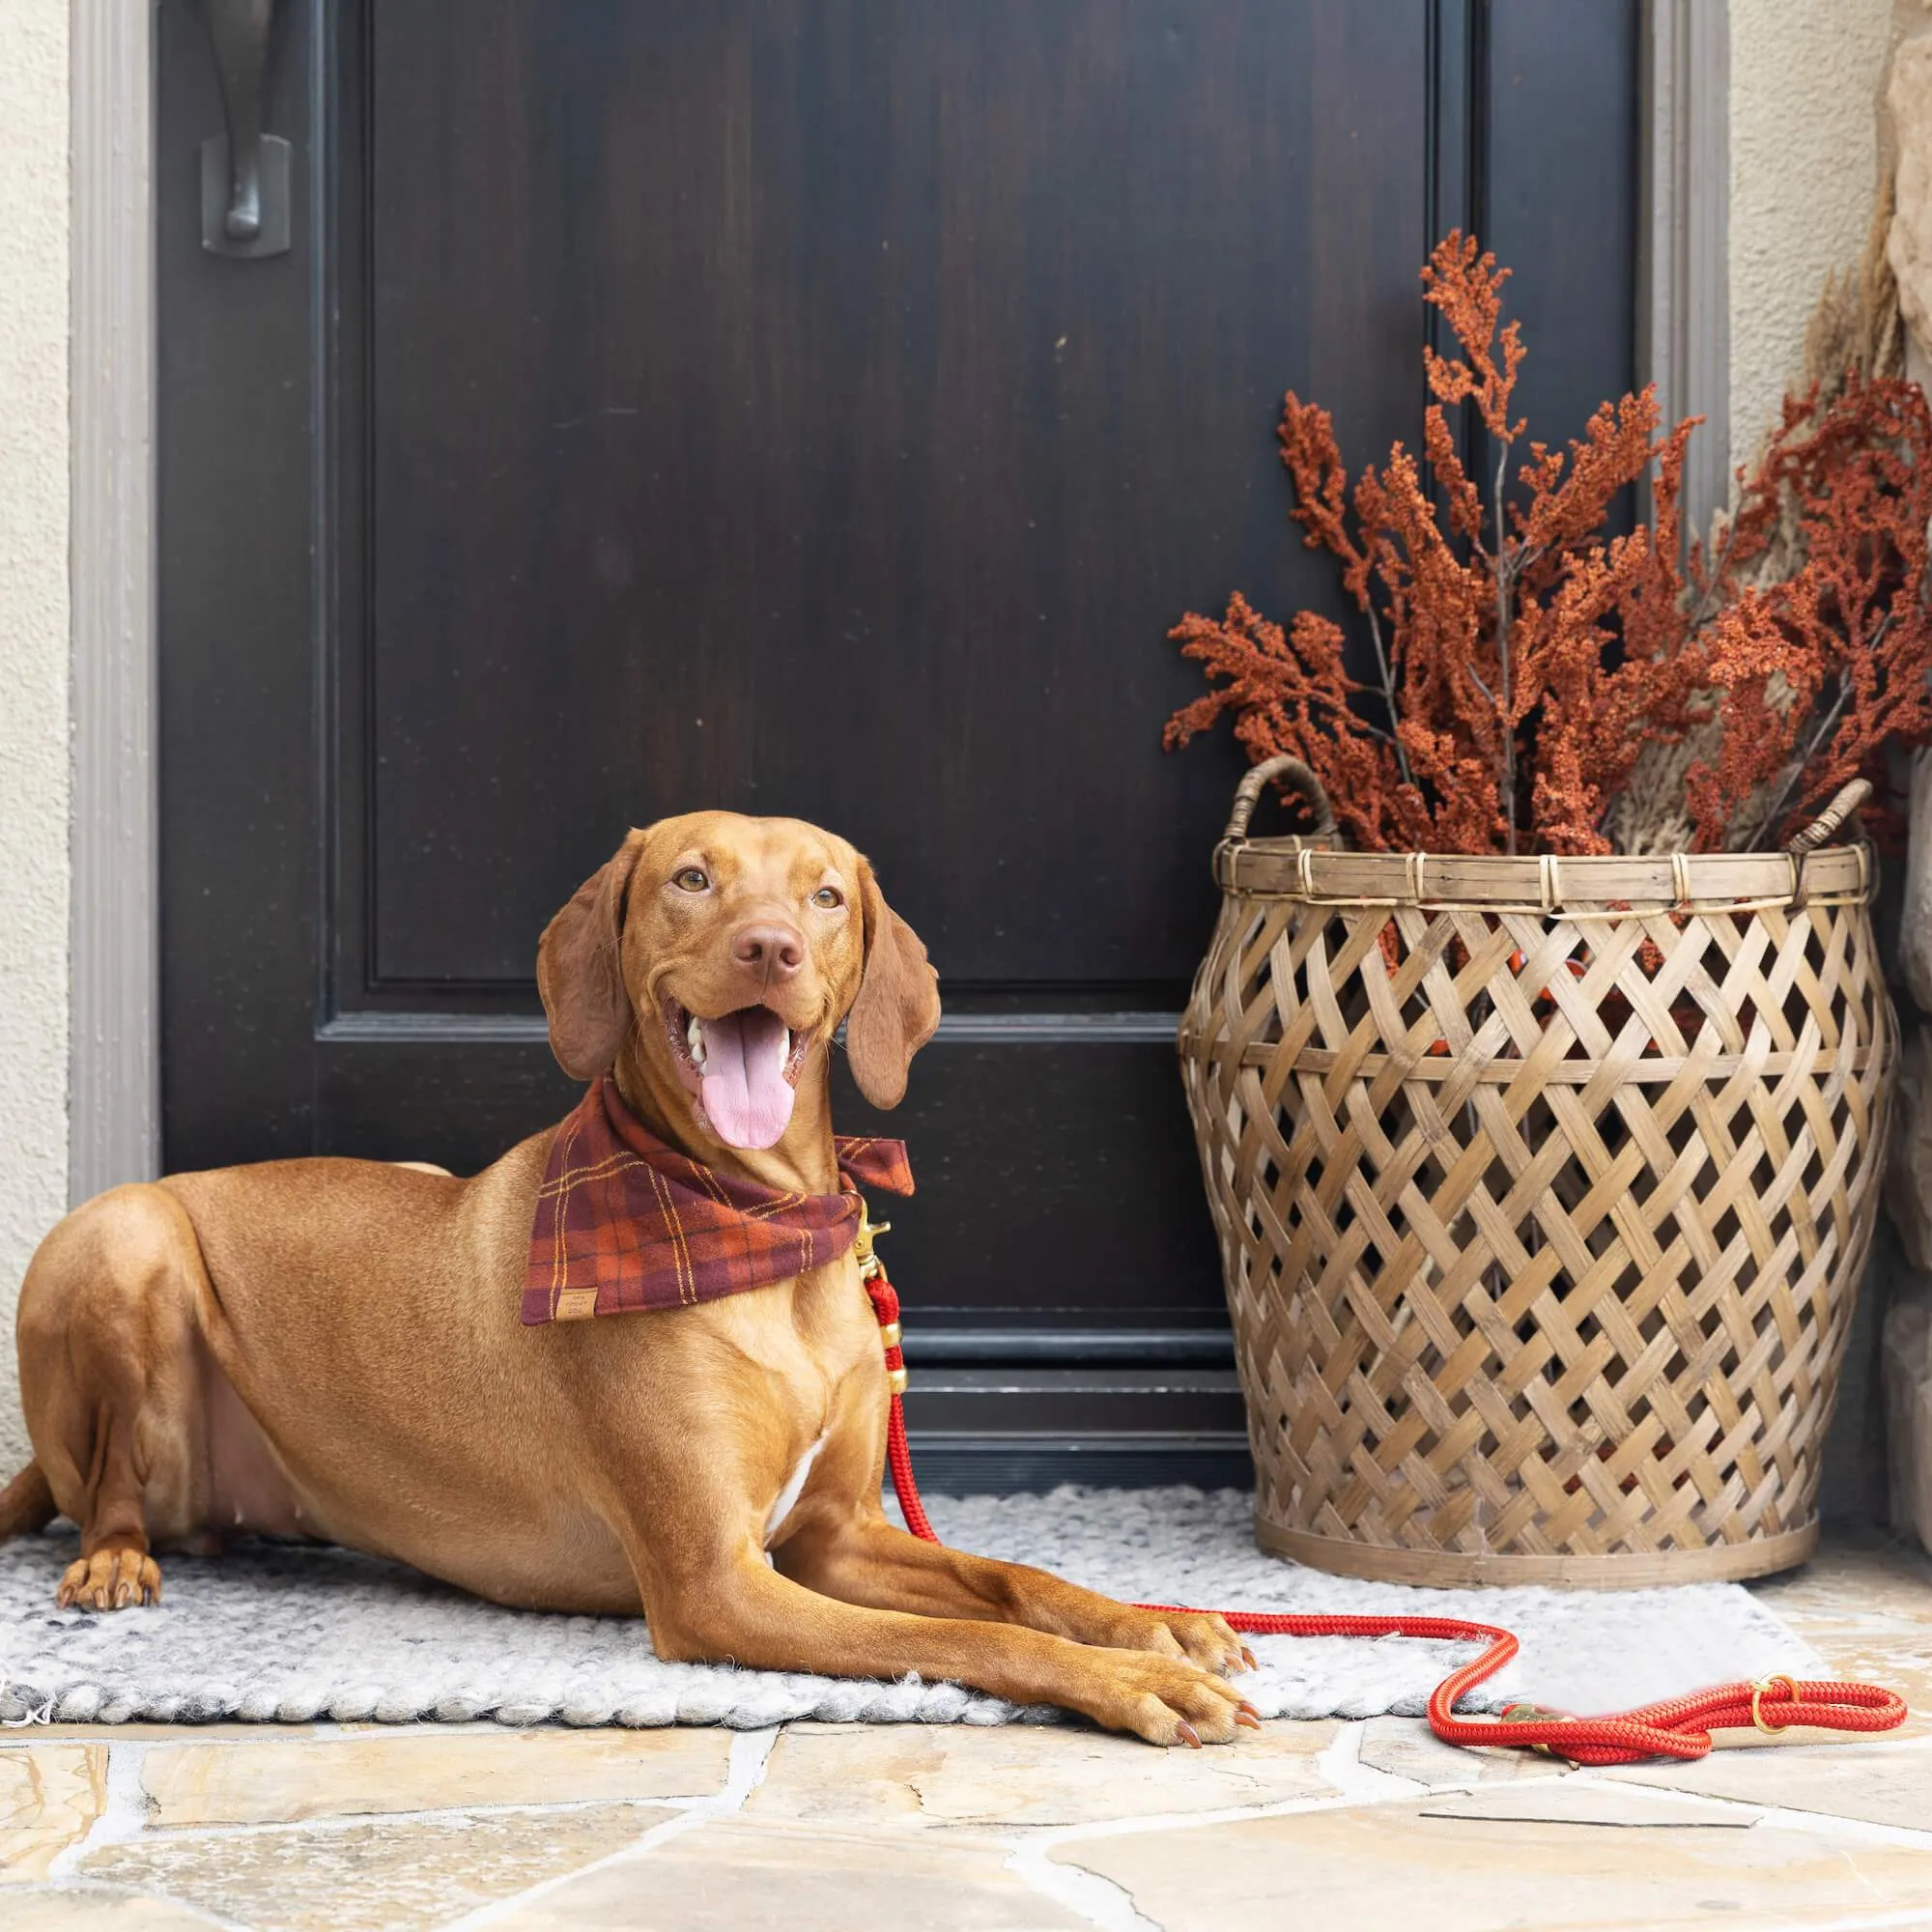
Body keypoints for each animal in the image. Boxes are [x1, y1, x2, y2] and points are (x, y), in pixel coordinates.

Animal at [0, 808, 1260, 1747]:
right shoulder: (717, 1580)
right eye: (693, 879)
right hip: (120, 1234)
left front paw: (1153, 1625)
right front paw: (1132, 1682)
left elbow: (1013, 1577)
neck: (757, 1229)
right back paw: (114, 1559)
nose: (769, 948)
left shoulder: (833, 1536)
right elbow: (968, 1638)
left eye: (825, 896)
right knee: (100, 1489)